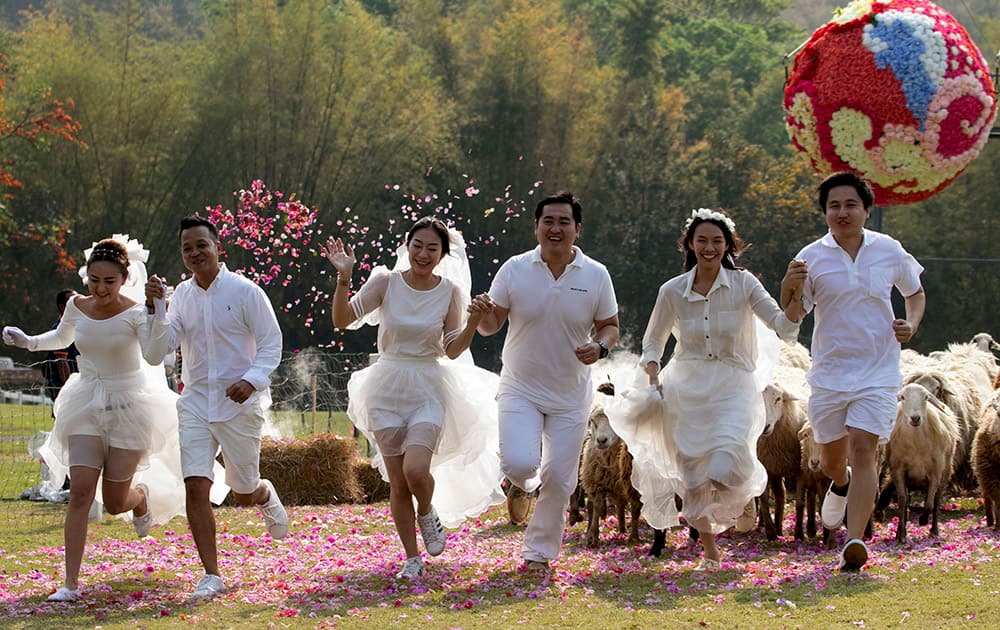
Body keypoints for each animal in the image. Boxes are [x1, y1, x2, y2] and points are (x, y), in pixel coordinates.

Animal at [888, 382, 956, 544]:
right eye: (902, 397)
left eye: (925, 397)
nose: (915, 418)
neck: (916, 446)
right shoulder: (898, 470)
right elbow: (902, 501)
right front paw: (900, 534)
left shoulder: (935, 472)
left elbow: (930, 504)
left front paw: (923, 520)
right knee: (907, 502)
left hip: (945, 472)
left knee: (936, 501)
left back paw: (934, 530)